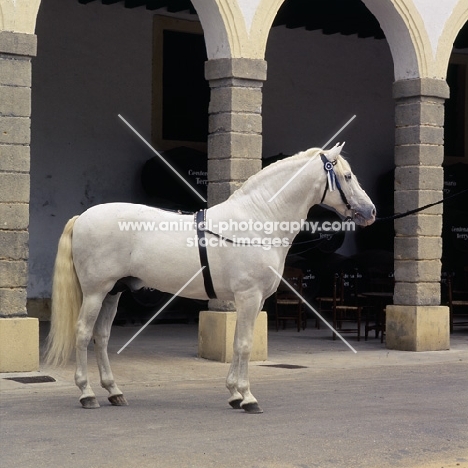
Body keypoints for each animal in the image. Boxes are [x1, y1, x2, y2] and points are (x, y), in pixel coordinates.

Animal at [45, 144, 374, 414]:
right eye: (347, 176)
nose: (370, 211)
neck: (258, 220)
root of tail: (83, 217)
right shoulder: (249, 297)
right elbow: (244, 344)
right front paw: (247, 397)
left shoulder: (250, 301)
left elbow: (240, 343)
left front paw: (234, 395)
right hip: (95, 292)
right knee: (83, 333)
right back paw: (87, 394)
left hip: (114, 292)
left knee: (101, 337)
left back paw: (114, 391)